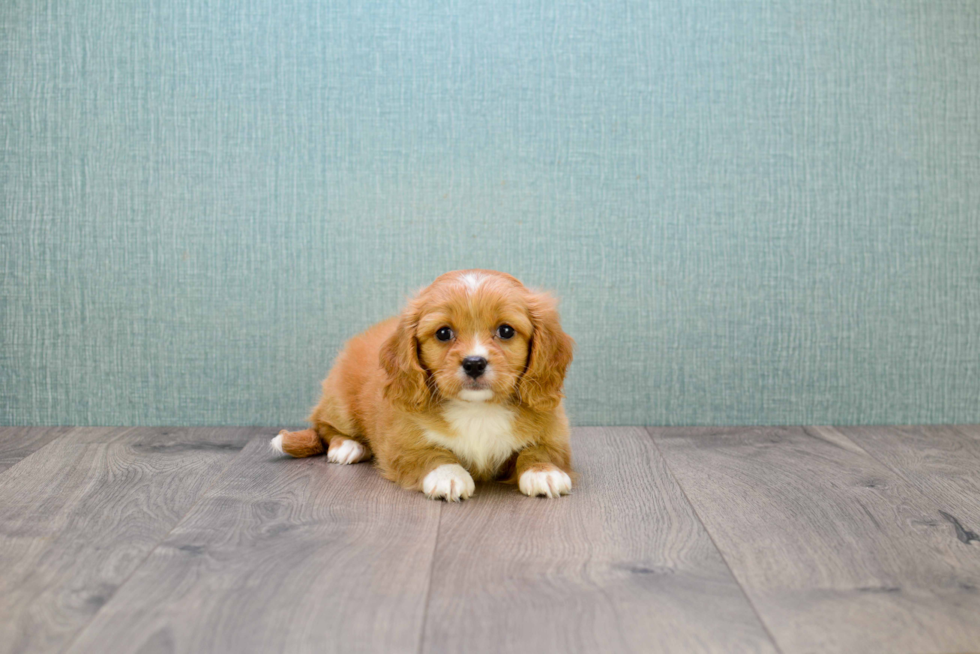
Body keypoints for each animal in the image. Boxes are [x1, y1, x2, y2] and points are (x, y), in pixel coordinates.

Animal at [270, 268, 576, 502]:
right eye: (443, 333)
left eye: (506, 331)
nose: (474, 363)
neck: (477, 409)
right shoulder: (401, 443)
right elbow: (430, 453)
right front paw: (449, 475)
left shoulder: (554, 434)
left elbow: (539, 450)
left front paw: (543, 471)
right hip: (340, 403)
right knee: (323, 424)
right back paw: (347, 446)